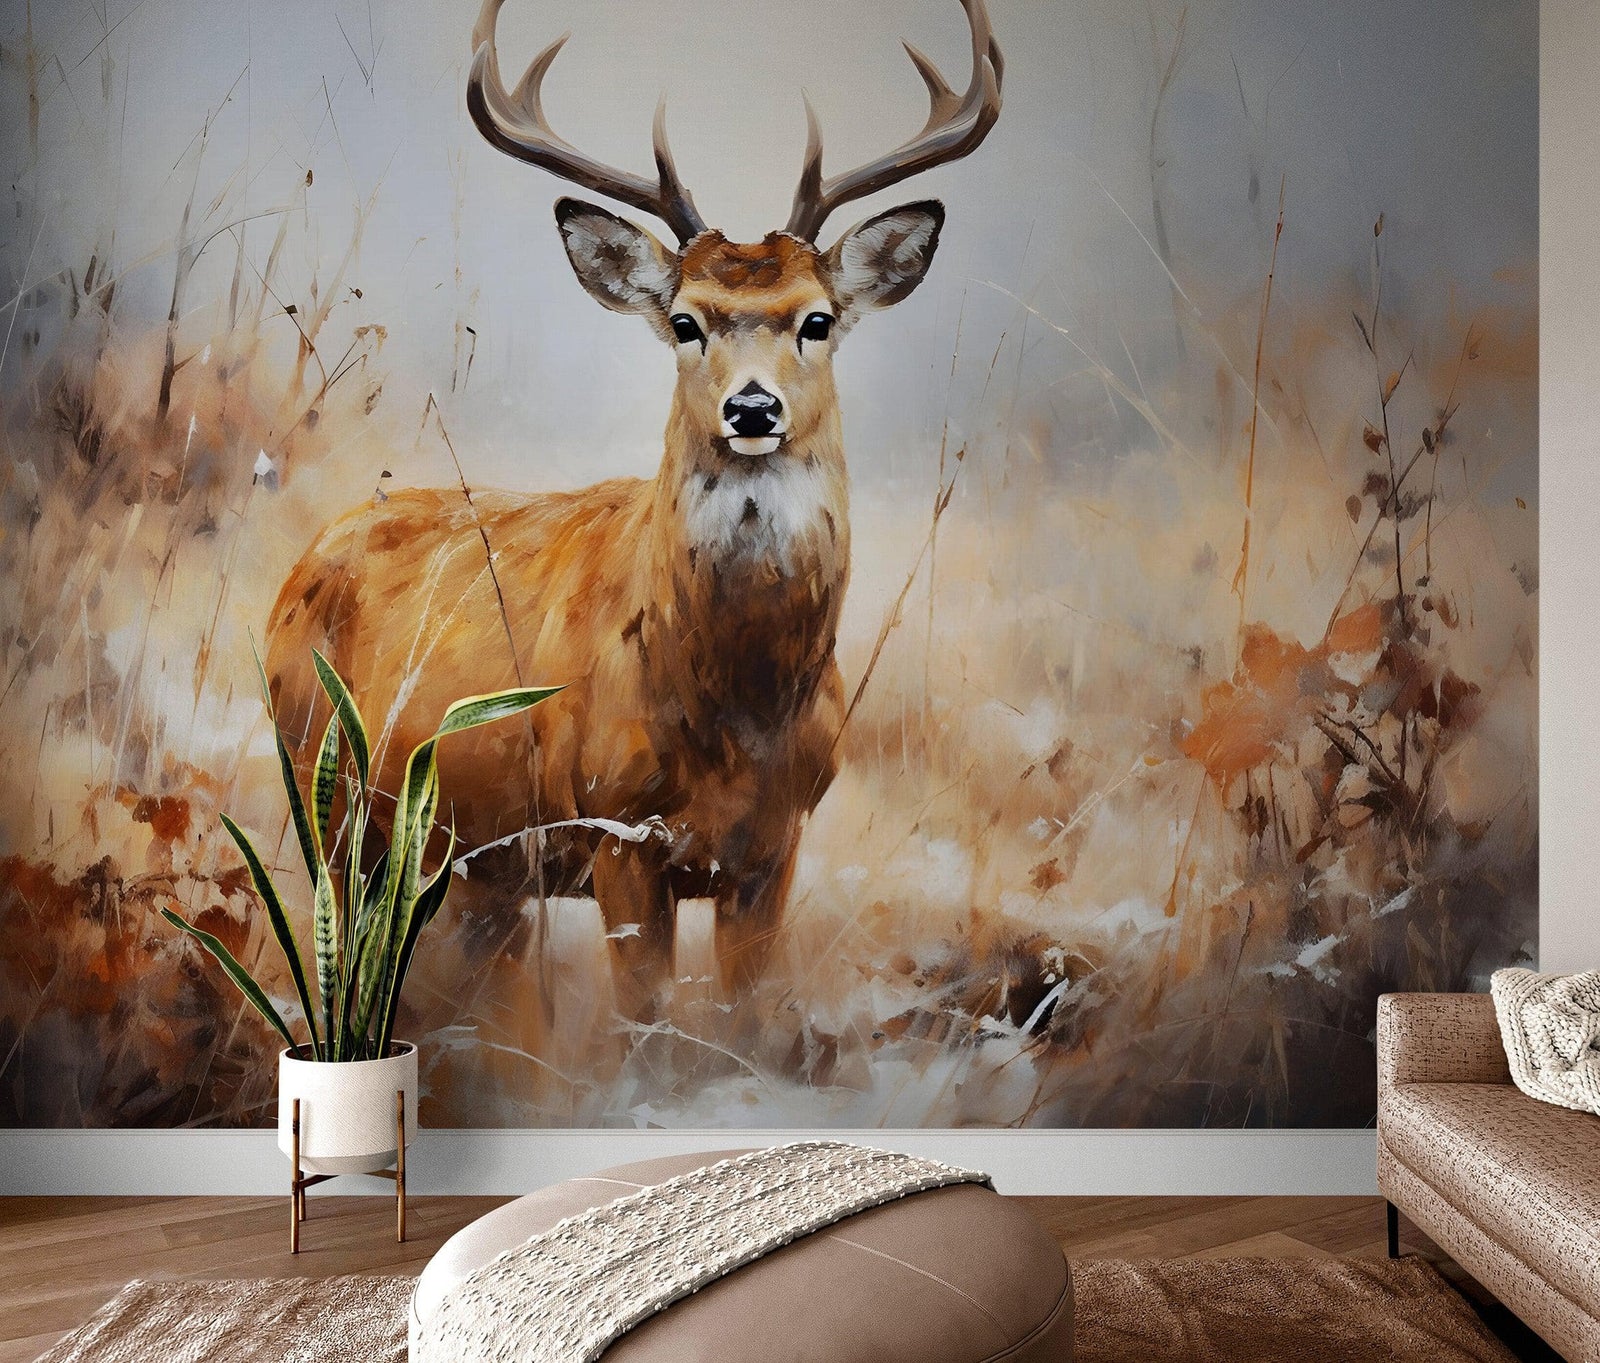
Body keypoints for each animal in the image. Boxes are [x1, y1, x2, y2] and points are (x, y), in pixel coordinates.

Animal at [265, 0, 1003, 1019]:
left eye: (816, 320)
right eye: (686, 321)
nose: (752, 409)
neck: (735, 713)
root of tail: (298, 566)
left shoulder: (773, 849)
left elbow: (748, 1017)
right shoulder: (617, 832)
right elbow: (641, 1022)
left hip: (472, 863)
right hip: (325, 789)